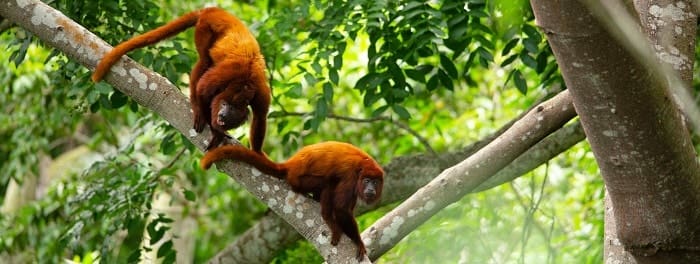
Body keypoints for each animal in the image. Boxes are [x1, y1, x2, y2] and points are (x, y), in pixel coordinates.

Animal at [91, 7, 270, 152]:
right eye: (225, 105)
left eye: (231, 112)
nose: (222, 115)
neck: (242, 85)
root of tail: (212, 10)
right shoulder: (229, 72)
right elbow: (203, 87)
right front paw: (214, 129)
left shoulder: (260, 92)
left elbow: (260, 117)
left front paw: (257, 154)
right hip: (204, 27)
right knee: (204, 61)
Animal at [200, 142, 386, 260]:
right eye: (367, 180)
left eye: (375, 182)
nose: (371, 189)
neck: (362, 167)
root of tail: (292, 164)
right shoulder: (351, 177)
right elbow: (341, 209)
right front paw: (359, 242)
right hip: (299, 179)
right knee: (329, 182)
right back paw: (329, 220)